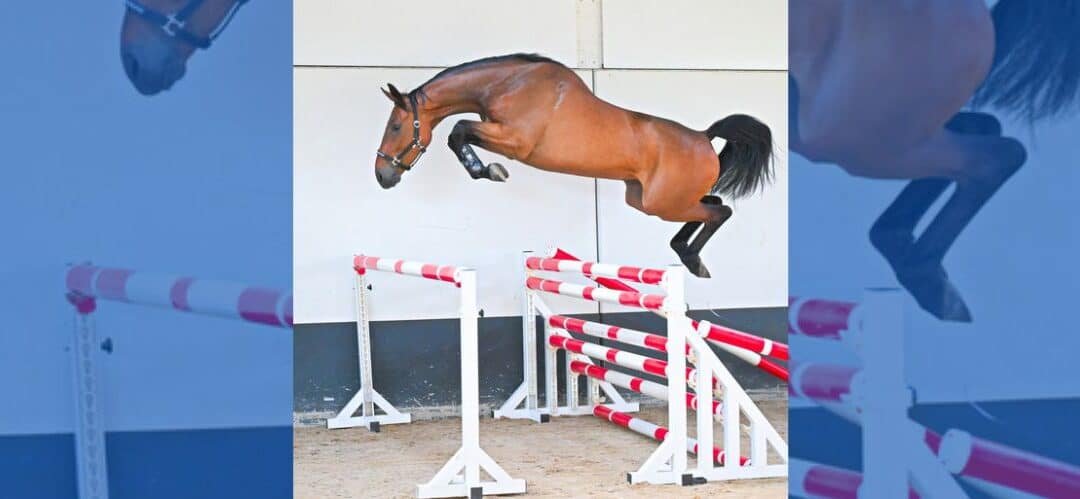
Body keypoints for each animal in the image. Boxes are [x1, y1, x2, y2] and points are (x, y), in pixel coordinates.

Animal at [373, 54, 775, 278]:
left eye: (395, 126)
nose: (382, 176)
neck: (509, 83)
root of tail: (705, 137)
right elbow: (459, 133)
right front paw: (485, 169)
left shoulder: (515, 141)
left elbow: (458, 131)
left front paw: (488, 170)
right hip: (648, 200)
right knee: (713, 205)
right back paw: (685, 253)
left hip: (664, 204)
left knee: (719, 212)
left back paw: (693, 261)